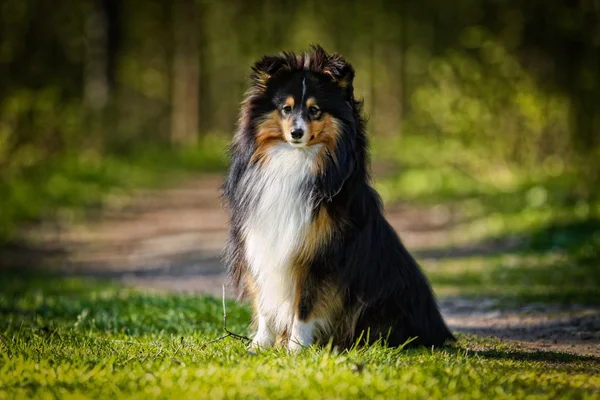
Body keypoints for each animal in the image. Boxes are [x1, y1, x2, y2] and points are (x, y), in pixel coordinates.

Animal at [221, 44, 454, 350]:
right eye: (286, 109)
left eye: (315, 110)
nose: (296, 133)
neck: (295, 159)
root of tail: (438, 329)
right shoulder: (258, 244)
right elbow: (263, 302)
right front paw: (260, 345)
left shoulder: (319, 253)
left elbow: (305, 305)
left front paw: (296, 348)